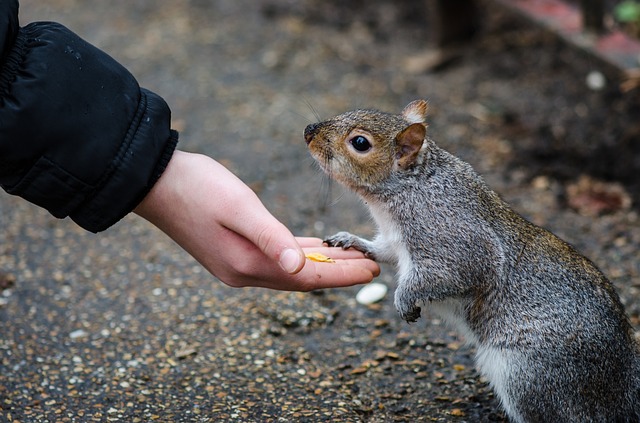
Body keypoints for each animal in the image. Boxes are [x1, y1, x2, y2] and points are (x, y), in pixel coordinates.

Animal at [302, 100, 640, 423]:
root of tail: (622, 380)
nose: (308, 131)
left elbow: (453, 275)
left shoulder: (454, 241)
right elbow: (382, 250)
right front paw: (351, 240)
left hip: (530, 374)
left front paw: (404, 298)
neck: (410, 188)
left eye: (360, 143)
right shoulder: (394, 241)